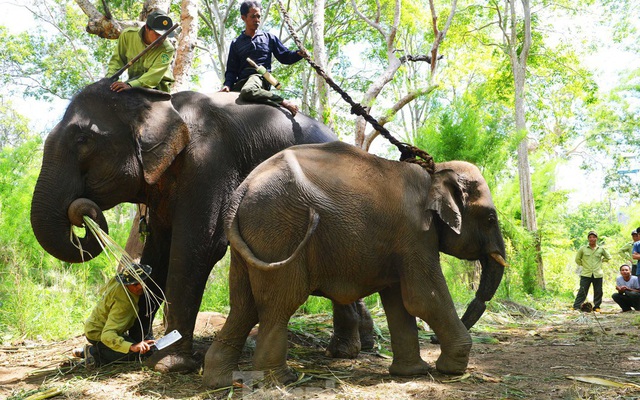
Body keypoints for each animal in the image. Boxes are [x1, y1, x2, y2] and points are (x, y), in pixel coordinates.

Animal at [30, 78, 376, 372]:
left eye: (83, 139)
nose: (80, 213)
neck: (160, 102)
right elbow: (157, 254)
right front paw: (127, 350)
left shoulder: (209, 162)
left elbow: (199, 247)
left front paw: (167, 365)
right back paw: (359, 344)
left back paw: (343, 350)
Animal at [204, 141, 504, 388]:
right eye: (490, 218)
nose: (432, 339)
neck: (435, 172)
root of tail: (242, 189)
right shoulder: (416, 233)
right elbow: (423, 298)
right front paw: (451, 369)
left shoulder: (401, 242)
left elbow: (399, 302)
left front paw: (412, 372)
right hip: (280, 230)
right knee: (279, 305)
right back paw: (281, 380)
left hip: (251, 240)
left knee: (243, 306)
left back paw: (220, 381)